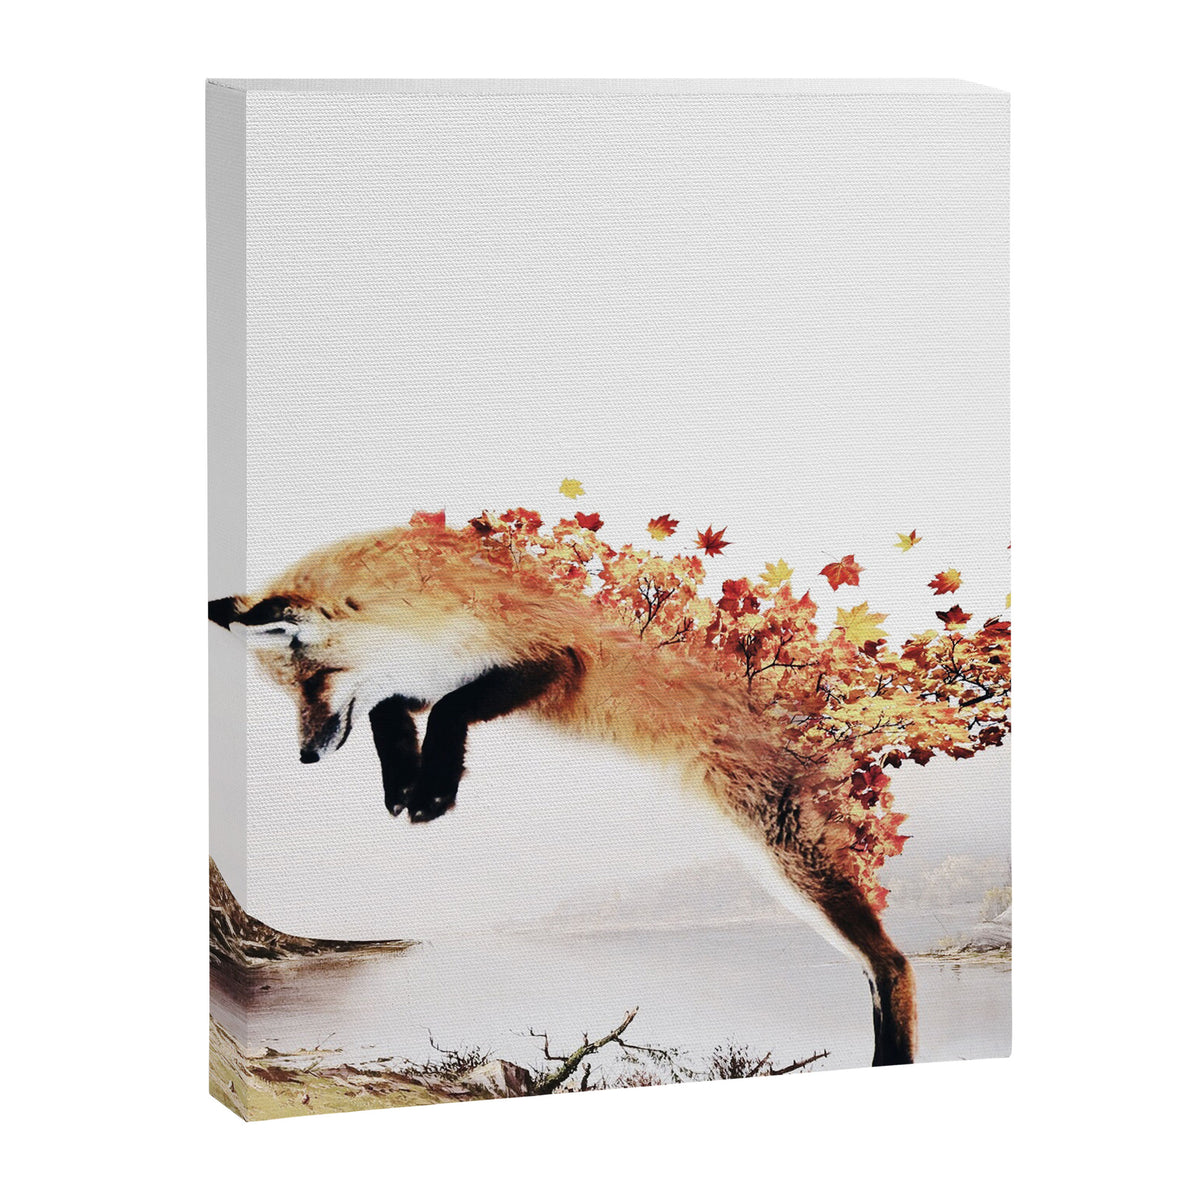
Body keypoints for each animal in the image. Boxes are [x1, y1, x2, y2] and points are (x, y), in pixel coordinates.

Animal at [210, 523, 916, 1067]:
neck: (424, 619)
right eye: (288, 693)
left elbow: (451, 709)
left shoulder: (550, 657)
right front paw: (404, 783)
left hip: (788, 864)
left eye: (310, 682)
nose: (306, 756)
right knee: (872, 967)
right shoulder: (419, 680)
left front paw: (432, 791)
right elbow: (391, 709)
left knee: (893, 963)